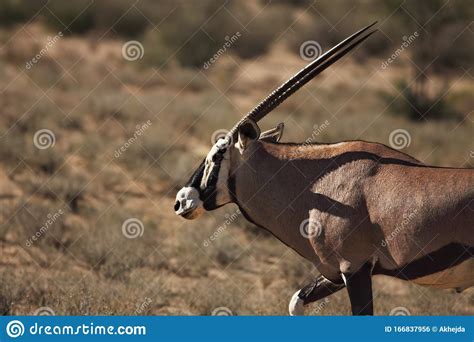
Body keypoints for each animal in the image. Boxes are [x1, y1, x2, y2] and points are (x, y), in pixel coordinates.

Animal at [174, 22, 474, 316]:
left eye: (217, 154)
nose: (180, 201)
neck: (316, 184)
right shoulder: (334, 273)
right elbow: (295, 302)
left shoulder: (354, 267)